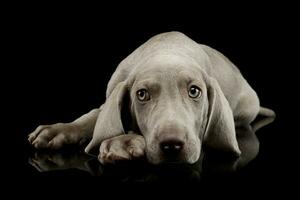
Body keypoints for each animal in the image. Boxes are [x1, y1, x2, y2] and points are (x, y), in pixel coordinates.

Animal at [27, 32, 274, 165]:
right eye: (142, 94)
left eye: (194, 91)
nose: (172, 145)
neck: (167, 50)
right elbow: (94, 116)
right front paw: (57, 131)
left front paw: (123, 143)